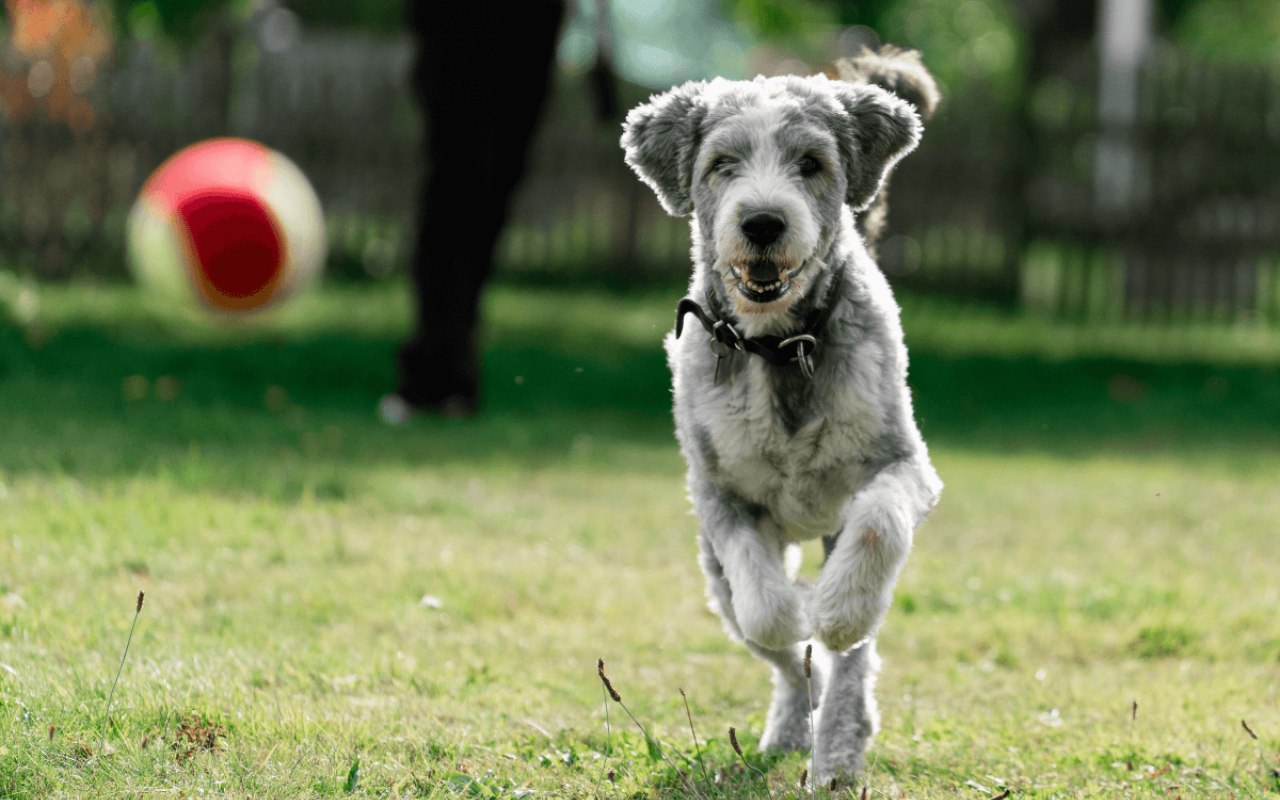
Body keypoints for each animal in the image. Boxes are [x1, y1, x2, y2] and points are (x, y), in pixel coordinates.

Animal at [624, 46, 947, 783]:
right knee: (779, 653)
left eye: (811, 163)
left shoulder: (902, 465)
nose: (764, 222)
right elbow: (766, 606)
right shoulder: (718, 494)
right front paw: (797, 609)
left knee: (853, 663)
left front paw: (836, 611)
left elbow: (878, 529)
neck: (781, 347)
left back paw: (839, 747)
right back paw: (796, 725)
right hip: (714, 578)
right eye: (721, 164)